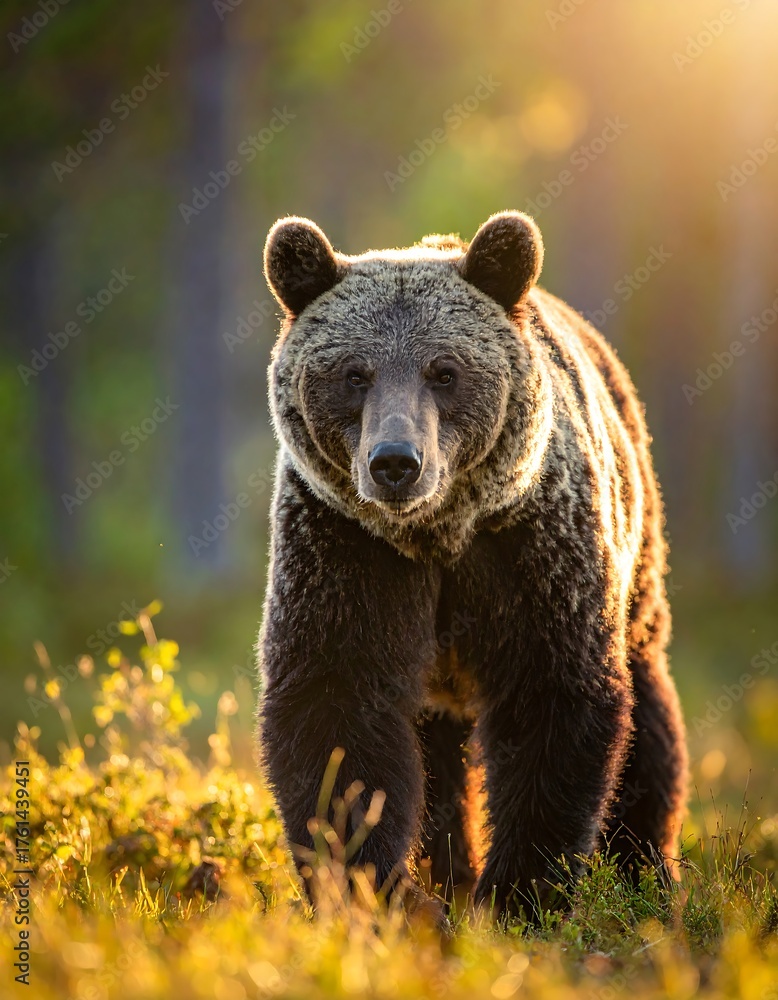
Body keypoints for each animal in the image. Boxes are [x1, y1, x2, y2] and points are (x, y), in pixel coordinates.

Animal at [256, 210, 688, 920]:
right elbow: (338, 709)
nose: (395, 462)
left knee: (648, 718)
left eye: (444, 370)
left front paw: (518, 896)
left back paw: (644, 870)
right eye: (354, 373)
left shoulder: (530, 545)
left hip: (638, 556)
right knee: (436, 760)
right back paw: (447, 874)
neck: (435, 534)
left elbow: (553, 698)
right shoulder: (343, 546)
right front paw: (376, 893)